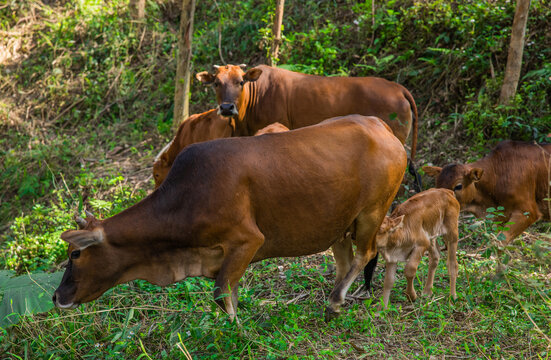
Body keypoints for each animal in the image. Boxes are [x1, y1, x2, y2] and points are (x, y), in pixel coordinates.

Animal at [52, 115, 406, 320]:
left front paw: (236, 330)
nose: (57, 297)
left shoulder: (248, 241)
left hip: (372, 213)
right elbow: (230, 292)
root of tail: (381, 126)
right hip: (340, 225)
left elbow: (221, 293)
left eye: (75, 254)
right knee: (346, 262)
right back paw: (336, 300)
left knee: (366, 253)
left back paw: (335, 299)